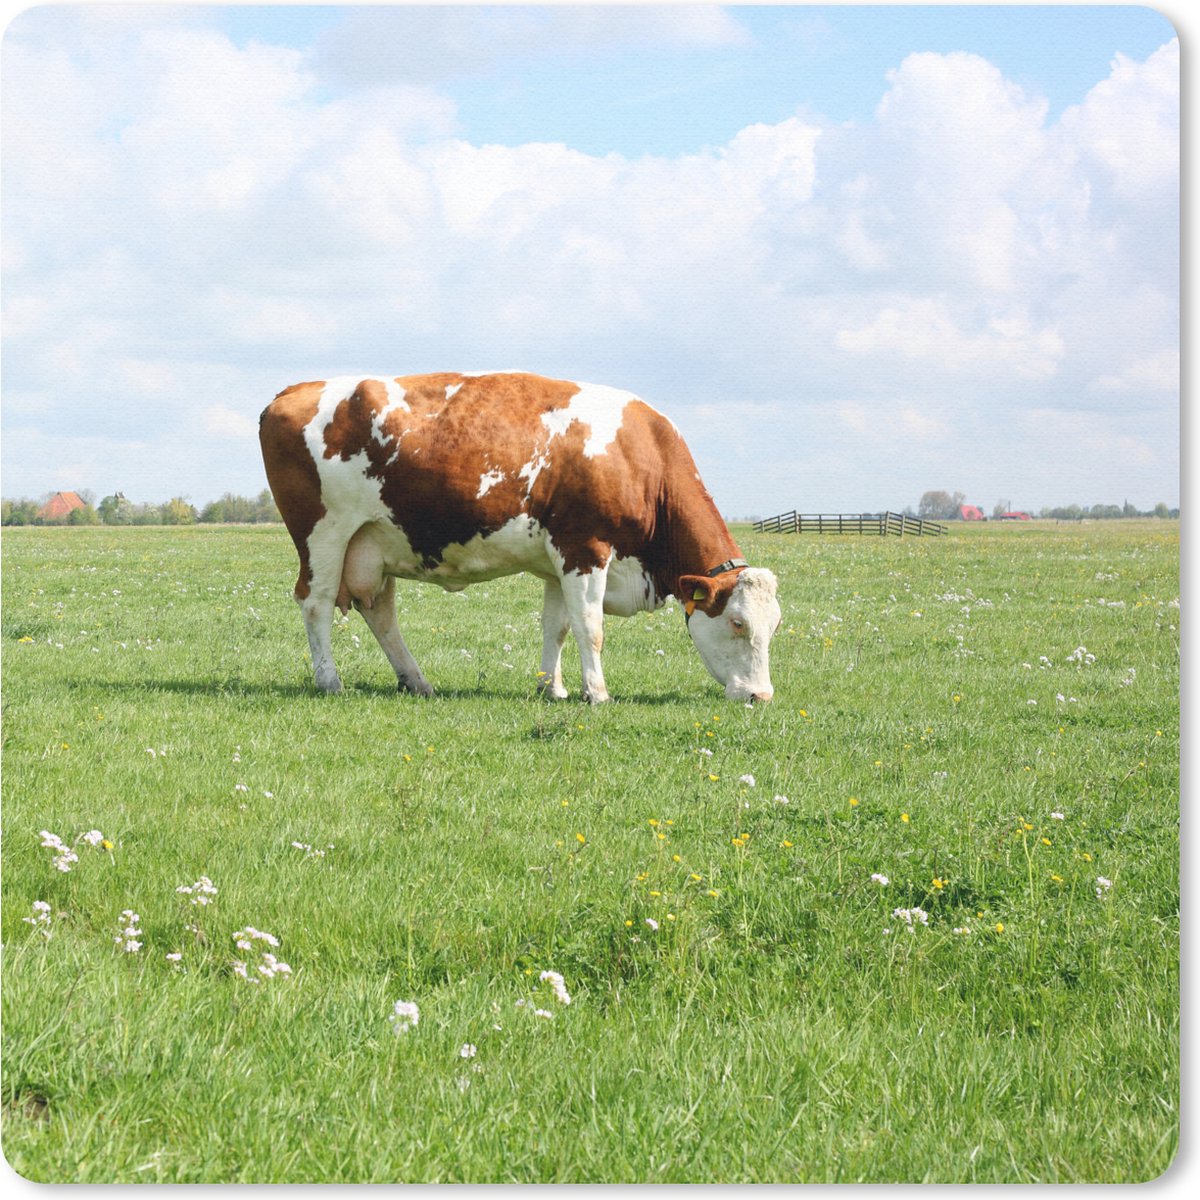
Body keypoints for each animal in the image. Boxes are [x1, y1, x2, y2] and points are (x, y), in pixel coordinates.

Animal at [259, 372, 780, 703]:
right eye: (738, 623)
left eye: (773, 625)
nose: (761, 696)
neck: (640, 457)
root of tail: (292, 390)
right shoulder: (585, 548)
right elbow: (590, 627)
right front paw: (598, 693)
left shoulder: (559, 563)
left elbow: (558, 626)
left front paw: (553, 687)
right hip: (325, 536)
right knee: (316, 603)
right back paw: (330, 681)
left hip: (374, 542)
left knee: (381, 612)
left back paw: (416, 680)